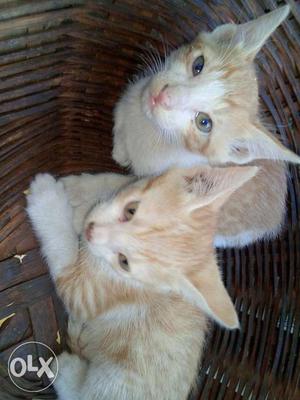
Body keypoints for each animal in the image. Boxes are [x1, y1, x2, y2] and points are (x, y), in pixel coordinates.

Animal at [27, 164, 258, 398]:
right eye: (131, 210)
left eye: (124, 262)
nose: (90, 231)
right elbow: (124, 180)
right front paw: (80, 190)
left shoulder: (85, 296)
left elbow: (64, 254)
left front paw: (47, 199)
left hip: (118, 380)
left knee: (82, 394)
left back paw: (65, 369)